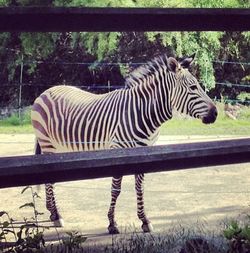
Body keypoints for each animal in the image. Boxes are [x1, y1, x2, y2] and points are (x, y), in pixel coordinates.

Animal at [30, 54, 217, 234]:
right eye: (193, 88)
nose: (215, 113)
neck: (142, 113)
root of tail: (46, 91)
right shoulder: (117, 151)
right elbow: (116, 189)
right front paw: (112, 223)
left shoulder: (143, 151)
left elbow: (140, 188)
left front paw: (144, 220)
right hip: (48, 144)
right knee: (49, 181)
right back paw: (57, 215)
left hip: (58, 146)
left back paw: (52, 212)